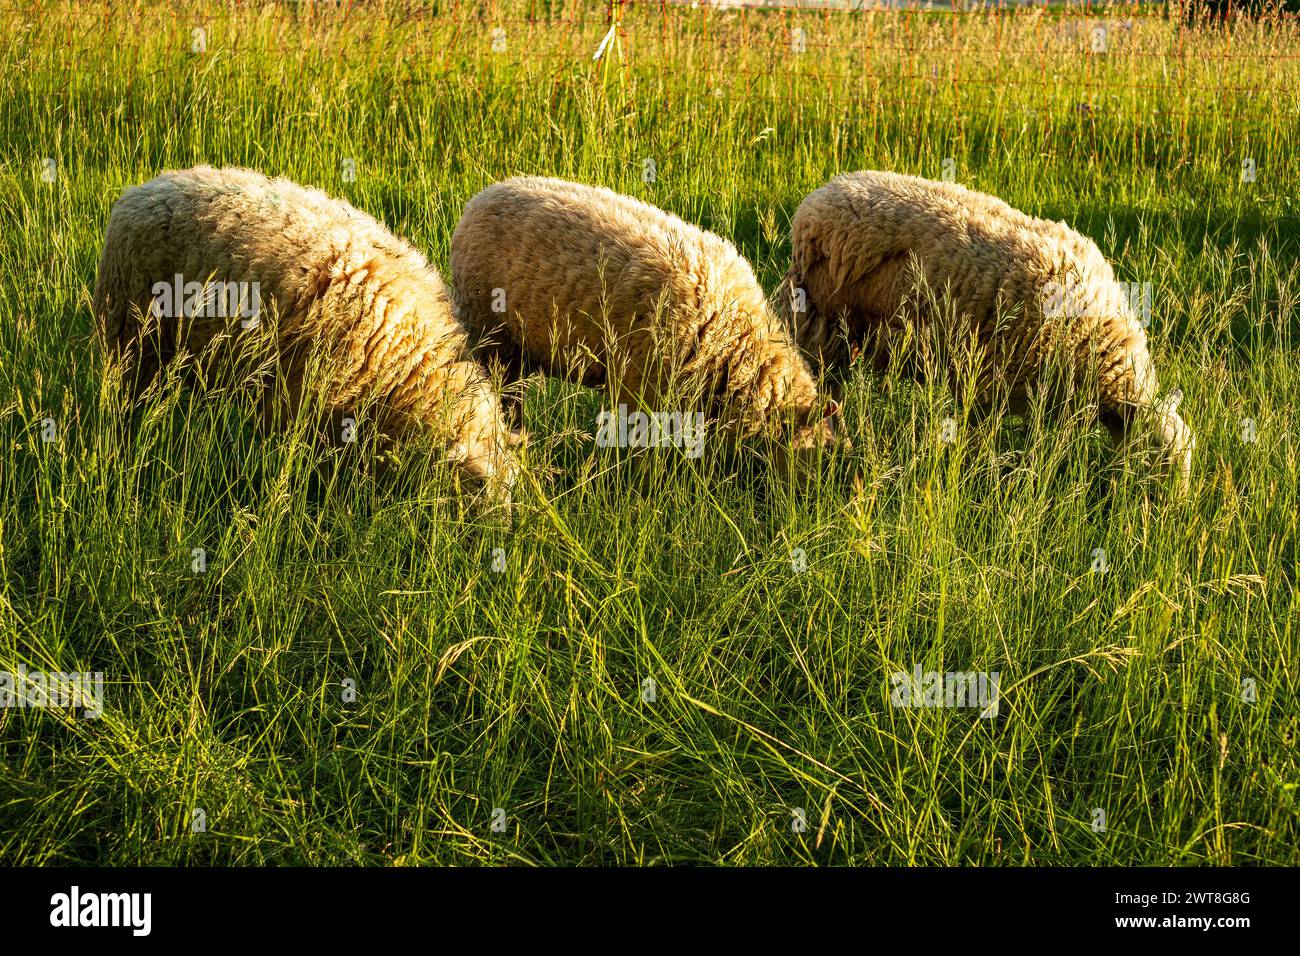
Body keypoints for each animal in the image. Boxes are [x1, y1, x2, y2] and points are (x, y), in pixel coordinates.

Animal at [774, 169, 1190, 486]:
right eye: (1159, 462)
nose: (1168, 516)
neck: (1103, 345)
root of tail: (820, 195)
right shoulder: (996, 379)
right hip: (823, 322)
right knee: (829, 388)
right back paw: (841, 442)